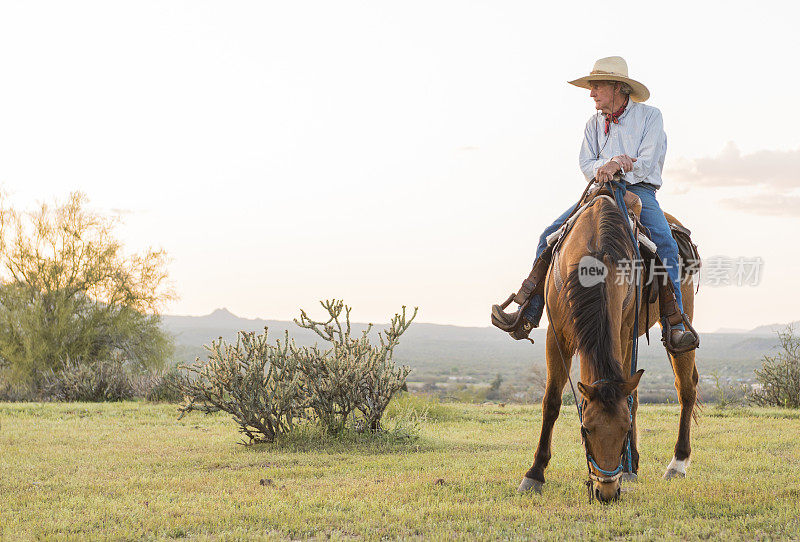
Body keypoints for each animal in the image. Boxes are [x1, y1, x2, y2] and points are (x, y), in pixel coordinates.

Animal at [516, 193, 696, 504]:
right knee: (637, 393)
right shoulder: (557, 335)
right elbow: (551, 401)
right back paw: (634, 466)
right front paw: (535, 473)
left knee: (686, 388)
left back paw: (676, 464)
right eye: (586, 429)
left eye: (623, 430)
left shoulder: (622, 333)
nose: (607, 493)